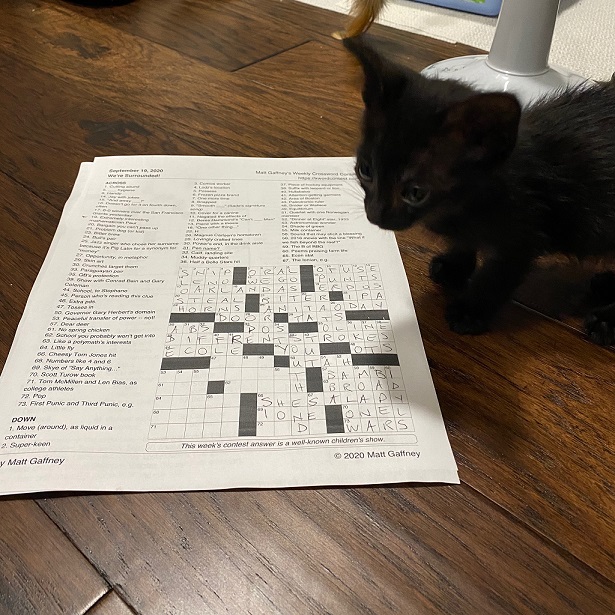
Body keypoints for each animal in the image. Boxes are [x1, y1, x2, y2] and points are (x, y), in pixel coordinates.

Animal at [344, 35, 615, 345]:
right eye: (365, 170)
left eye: (415, 192)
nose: (375, 215)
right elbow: (464, 242)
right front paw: (454, 265)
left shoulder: (521, 237)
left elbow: (495, 278)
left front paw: (470, 311)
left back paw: (607, 320)